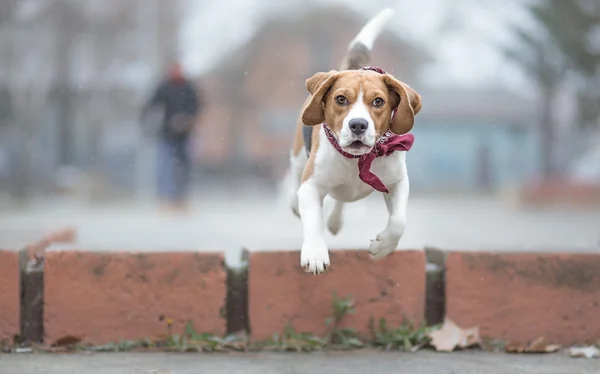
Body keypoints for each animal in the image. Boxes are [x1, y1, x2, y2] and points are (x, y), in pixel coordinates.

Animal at [286, 8, 422, 274]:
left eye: (378, 101)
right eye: (341, 99)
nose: (358, 125)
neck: (359, 160)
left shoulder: (398, 182)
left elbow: (399, 222)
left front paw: (381, 247)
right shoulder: (312, 185)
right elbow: (313, 221)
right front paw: (315, 254)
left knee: (341, 199)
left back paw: (336, 220)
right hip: (298, 155)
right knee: (296, 174)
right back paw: (296, 204)